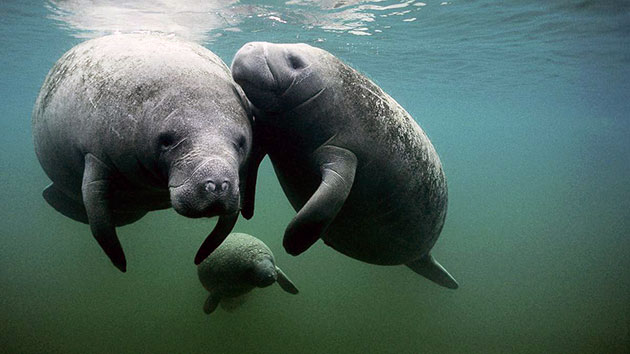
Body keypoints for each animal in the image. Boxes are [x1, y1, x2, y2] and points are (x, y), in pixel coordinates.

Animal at [32, 34, 253, 272]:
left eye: (241, 143)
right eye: (166, 141)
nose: (219, 184)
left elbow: (225, 226)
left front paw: (200, 255)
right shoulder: (95, 155)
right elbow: (99, 222)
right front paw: (120, 263)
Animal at [232, 42, 460, 290]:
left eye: (294, 61)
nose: (249, 46)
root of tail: (423, 257)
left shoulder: (345, 154)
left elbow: (326, 201)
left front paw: (292, 242)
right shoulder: (266, 130)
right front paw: (247, 209)